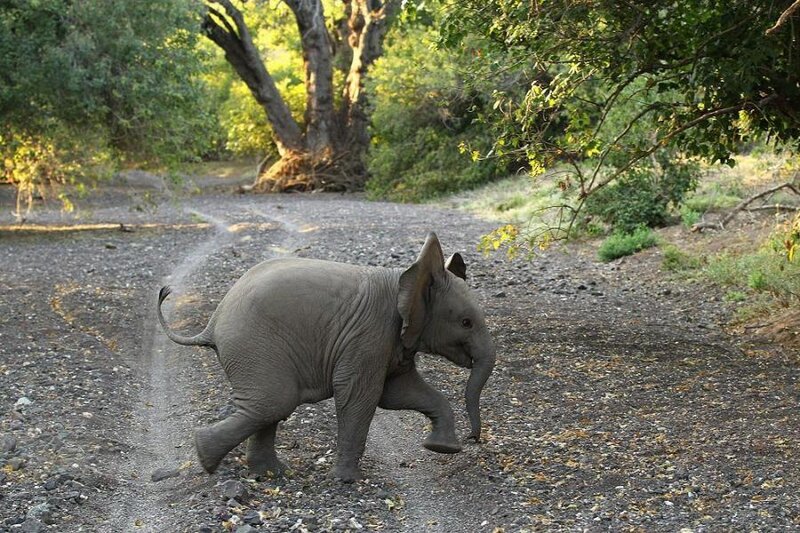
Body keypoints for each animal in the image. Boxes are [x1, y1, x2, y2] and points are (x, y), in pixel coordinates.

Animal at [156, 232, 496, 481]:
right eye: (466, 322)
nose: (473, 439)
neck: (404, 278)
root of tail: (213, 322)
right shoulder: (369, 335)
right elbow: (360, 396)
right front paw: (348, 482)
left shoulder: (392, 342)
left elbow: (400, 392)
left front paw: (442, 448)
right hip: (253, 345)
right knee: (274, 402)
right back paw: (207, 458)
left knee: (267, 407)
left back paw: (270, 473)